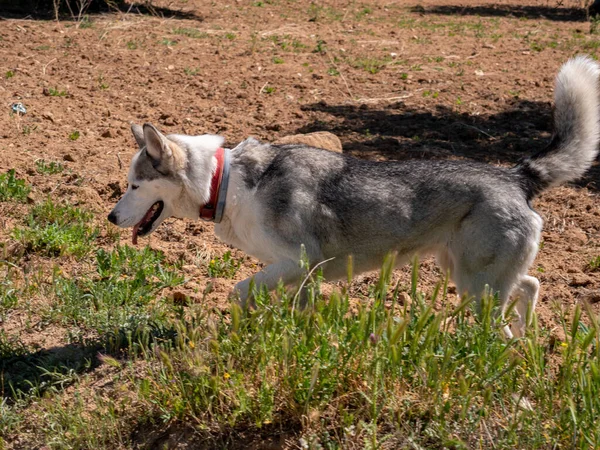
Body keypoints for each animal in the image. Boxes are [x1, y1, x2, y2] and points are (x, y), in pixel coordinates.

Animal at [109, 57, 600, 338]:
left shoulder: (297, 261)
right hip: (463, 272)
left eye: (134, 186)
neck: (226, 181)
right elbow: (290, 308)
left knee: (505, 315)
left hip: (474, 284)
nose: (111, 218)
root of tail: (517, 177)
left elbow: (237, 291)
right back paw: (525, 341)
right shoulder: (300, 275)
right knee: (530, 286)